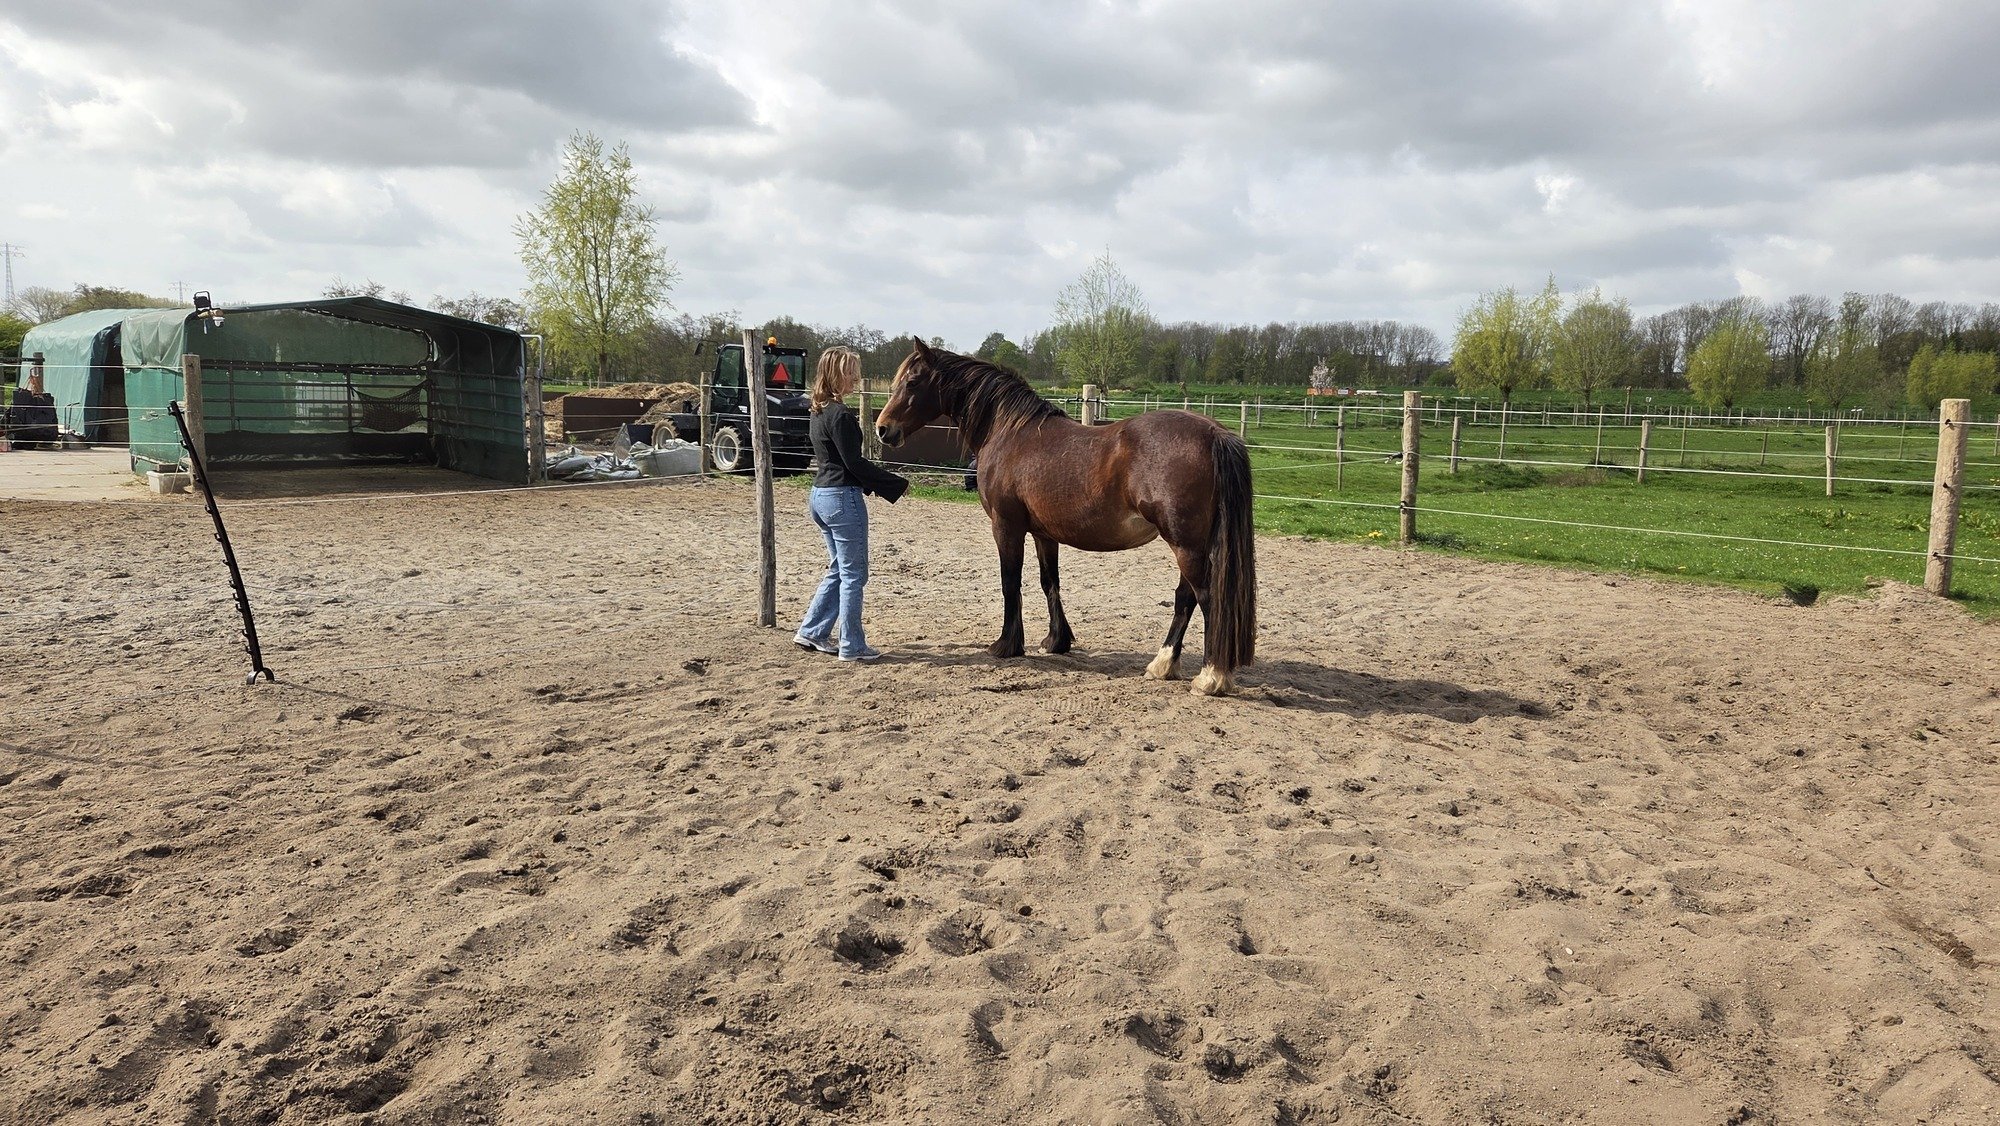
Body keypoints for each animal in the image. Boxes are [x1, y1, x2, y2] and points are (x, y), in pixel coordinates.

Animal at [875, 339, 1256, 695]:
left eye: (912, 381)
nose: (882, 429)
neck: (1009, 432)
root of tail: (1214, 434)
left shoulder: (1006, 526)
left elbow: (1010, 582)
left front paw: (1006, 644)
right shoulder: (1044, 533)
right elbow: (1050, 583)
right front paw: (1056, 640)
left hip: (1184, 544)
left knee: (1206, 599)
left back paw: (1211, 677)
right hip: (1190, 544)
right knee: (1185, 598)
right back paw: (1163, 664)